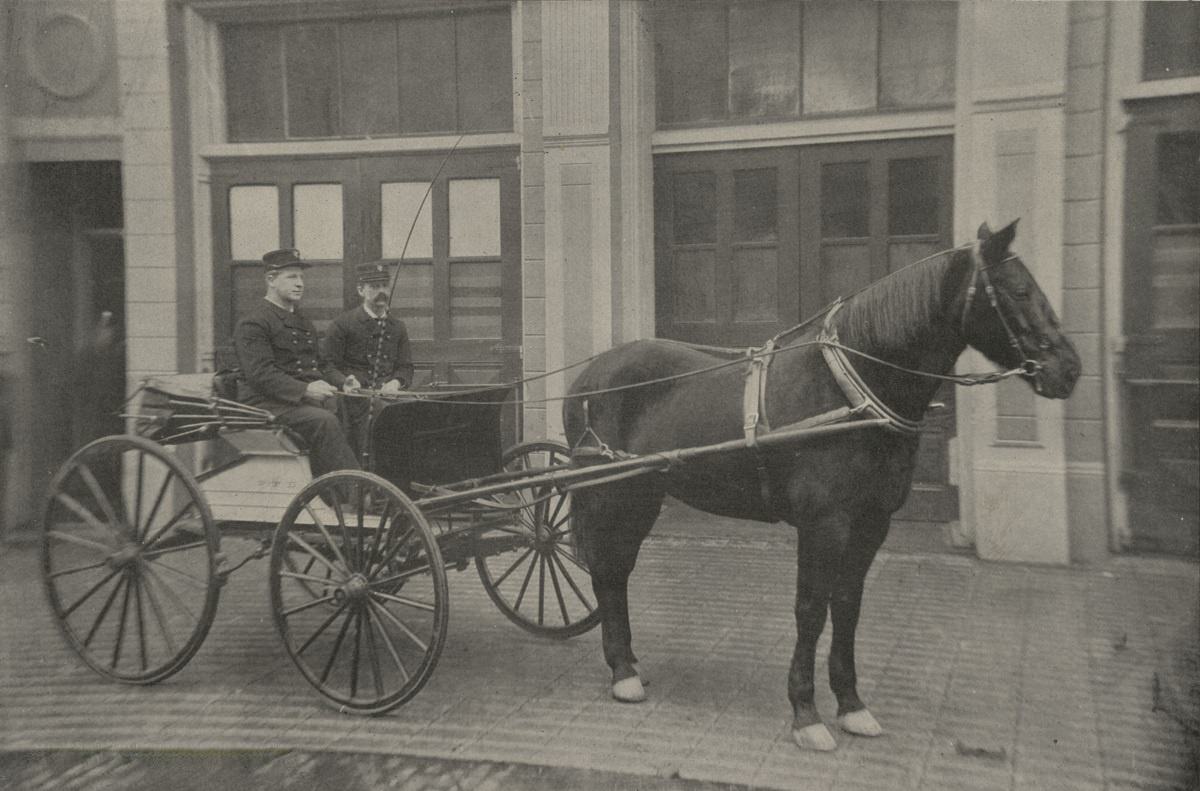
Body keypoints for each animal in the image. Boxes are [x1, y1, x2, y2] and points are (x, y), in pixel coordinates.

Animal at [561, 219, 1080, 753]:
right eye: (1019, 291)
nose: (1069, 369)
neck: (850, 391)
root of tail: (591, 374)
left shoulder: (871, 523)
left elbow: (847, 606)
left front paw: (852, 704)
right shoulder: (822, 524)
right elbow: (811, 609)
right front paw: (806, 713)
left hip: (640, 495)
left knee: (617, 570)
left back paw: (628, 665)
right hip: (608, 494)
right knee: (606, 569)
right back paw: (622, 672)